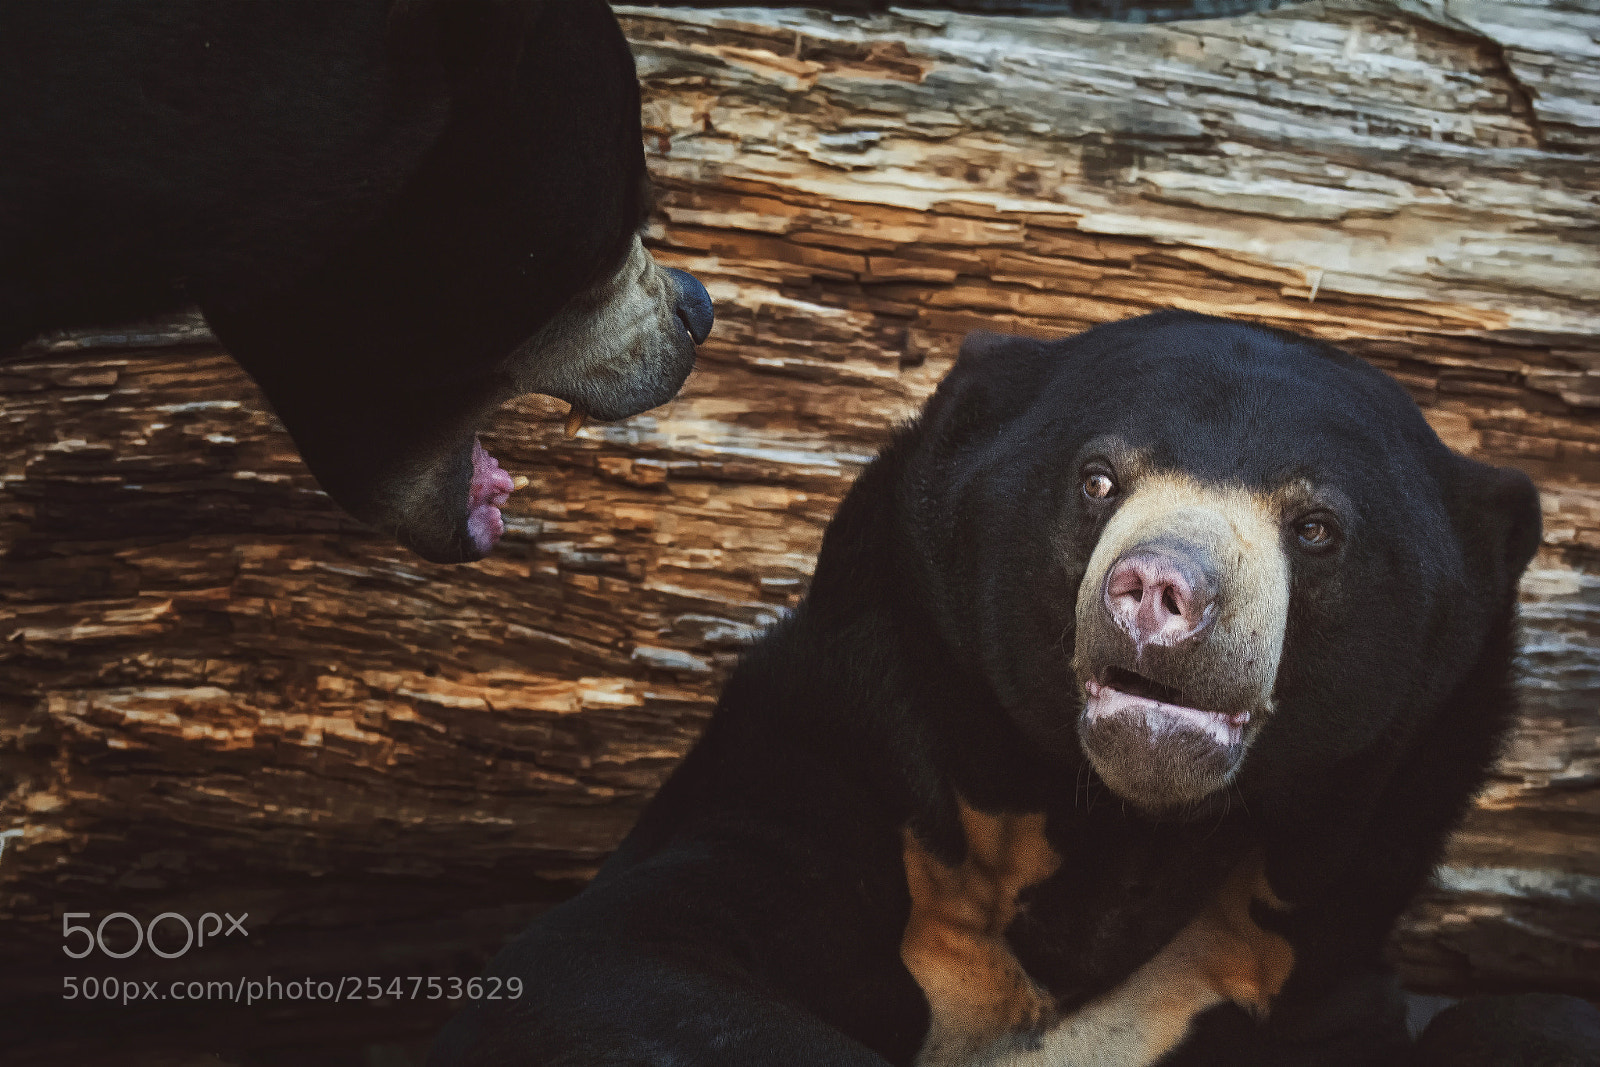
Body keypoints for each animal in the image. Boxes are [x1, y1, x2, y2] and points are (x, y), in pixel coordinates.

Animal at [429, 311, 1594, 1065]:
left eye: (1315, 527)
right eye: (1098, 479)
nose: (1160, 589)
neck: (1111, 834)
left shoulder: (1291, 943)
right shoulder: (850, 756)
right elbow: (619, 954)